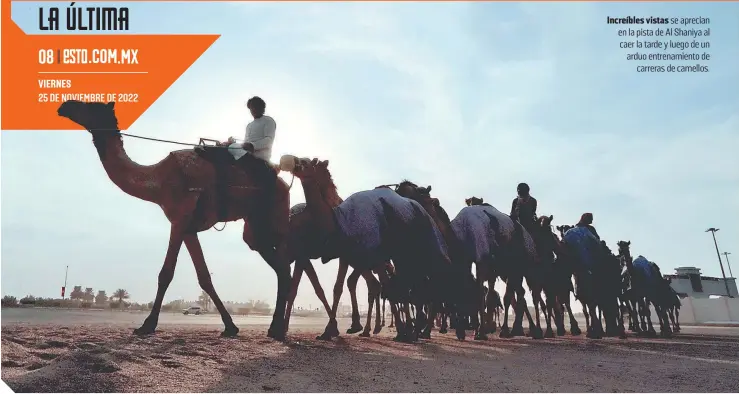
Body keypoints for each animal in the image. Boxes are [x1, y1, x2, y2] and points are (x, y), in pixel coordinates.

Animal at [56, 101, 294, 338]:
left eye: (92, 106)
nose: (65, 106)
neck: (158, 180)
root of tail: (285, 184)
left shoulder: (179, 218)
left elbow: (166, 273)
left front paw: (147, 325)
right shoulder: (188, 228)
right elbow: (204, 277)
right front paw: (230, 327)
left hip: (275, 215)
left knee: (284, 265)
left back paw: (278, 329)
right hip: (254, 227)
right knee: (277, 264)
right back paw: (274, 328)